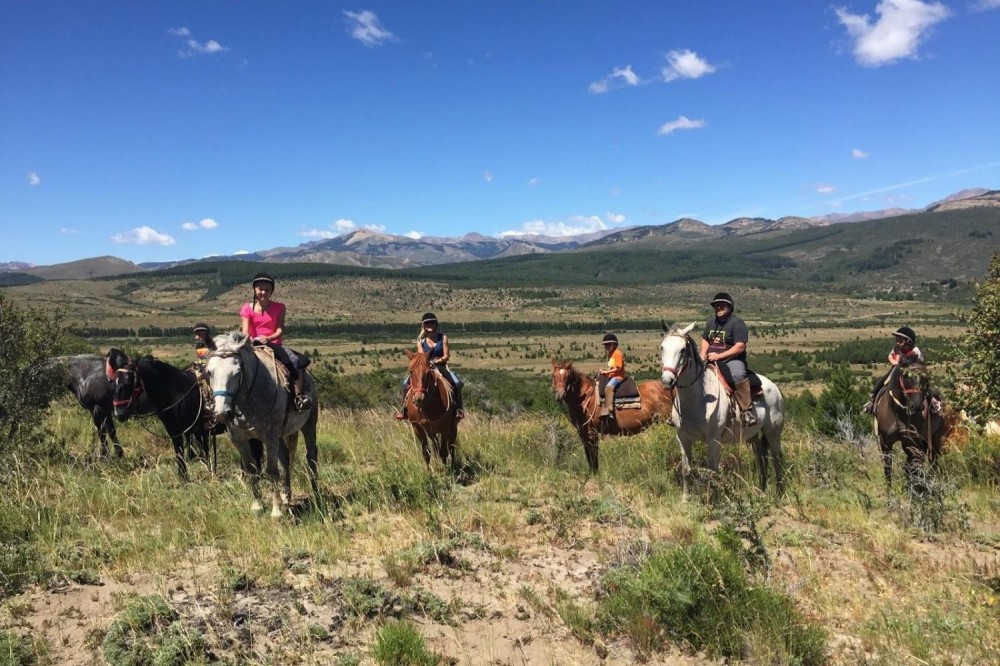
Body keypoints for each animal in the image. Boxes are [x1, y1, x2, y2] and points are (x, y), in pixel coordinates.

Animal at [108, 348, 220, 478]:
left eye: (128, 381)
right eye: (113, 383)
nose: (118, 413)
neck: (179, 393)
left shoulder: (199, 430)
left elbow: (205, 455)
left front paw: (210, 475)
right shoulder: (174, 430)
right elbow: (179, 453)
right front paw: (183, 478)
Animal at [207, 330, 320, 512]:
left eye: (237, 372)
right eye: (209, 372)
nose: (222, 413)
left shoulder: (270, 435)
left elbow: (271, 471)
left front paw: (276, 511)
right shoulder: (239, 438)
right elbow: (251, 469)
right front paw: (258, 505)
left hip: (309, 424)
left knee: (311, 457)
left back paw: (316, 495)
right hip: (280, 435)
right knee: (285, 459)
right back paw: (286, 497)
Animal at [660, 322, 784, 498]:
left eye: (683, 349)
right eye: (662, 347)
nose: (667, 380)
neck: (696, 400)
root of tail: (774, 387)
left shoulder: (713, 440)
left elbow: (713, 471)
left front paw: (715, 499)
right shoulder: (683, 438)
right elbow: (686, 469)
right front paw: (685, 498)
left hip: (773, 431)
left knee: (776, 458)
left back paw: (779, 494)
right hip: (752, 436)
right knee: (761, 457)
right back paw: (762, 490)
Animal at [876, 358, 944, 492]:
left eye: (925, 379)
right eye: (906, 377)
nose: (917, 406)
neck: (897, 412)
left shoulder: (911, 441)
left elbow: (913, 467)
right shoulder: (885, 443)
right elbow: (888, 469)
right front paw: (889, 493)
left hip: (932, 440)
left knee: (932, 461)